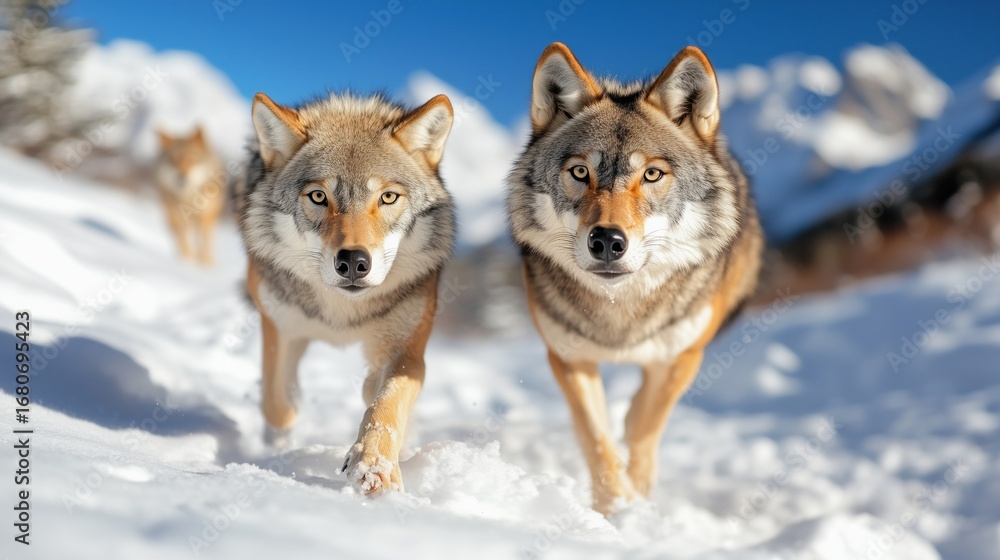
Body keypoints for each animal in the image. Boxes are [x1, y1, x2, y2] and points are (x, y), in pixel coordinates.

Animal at [154, 126, 226, 266]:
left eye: (190, 160)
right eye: (173, 161)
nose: (181, 177)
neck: (189, 198)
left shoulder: (206, 217)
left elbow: (204, 242)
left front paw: (205, 264)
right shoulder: (177, 217)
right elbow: (183, 240)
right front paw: (187, 262)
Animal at [237, 90, 456, 494]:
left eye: (388, 197)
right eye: (318, 196)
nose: (354, 261)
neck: (342, 314)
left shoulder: (406, 350)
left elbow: (384, 405)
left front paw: (374, 467)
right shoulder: (278, 325)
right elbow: (277, 404)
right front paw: (279, 447)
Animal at [506, 43, 763, 514]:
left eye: (652, 174)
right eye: (580, 172)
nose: (607, 241)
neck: (620, 314)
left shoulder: (683, 354)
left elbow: (645, 425)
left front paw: (639, 501)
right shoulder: (567, 357)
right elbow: (597, 438)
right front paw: (617, 508)